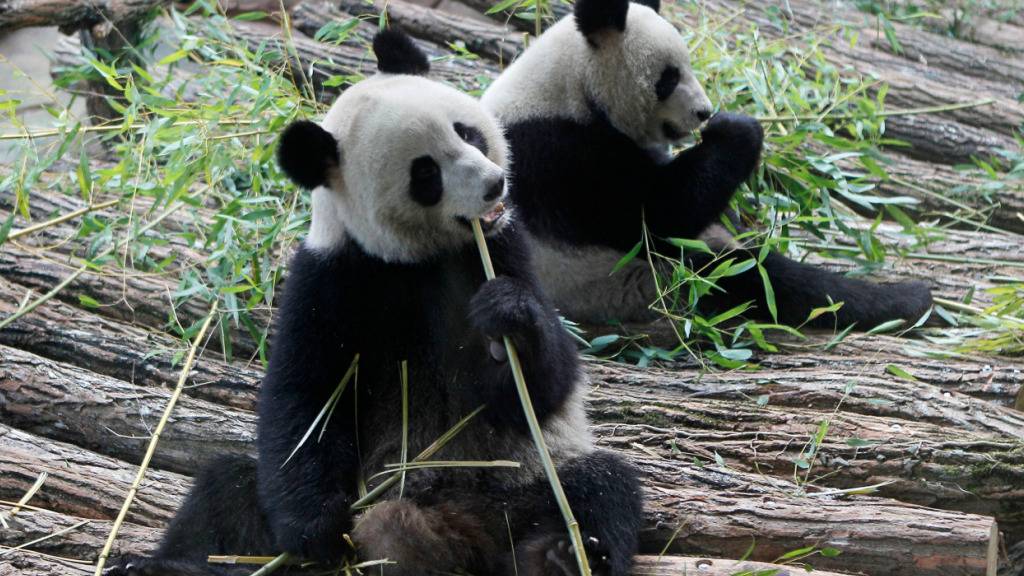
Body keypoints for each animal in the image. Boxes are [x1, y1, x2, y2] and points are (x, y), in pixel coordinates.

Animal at [107, 29, 641, 576]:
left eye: (467, 133)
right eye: (425, 174)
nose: (494, 184)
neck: (415, 259)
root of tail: (454, 534)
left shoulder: (501, 249)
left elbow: (539, 389)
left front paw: (508, 317)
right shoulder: (331, 279)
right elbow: (305, 400)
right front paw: (317, 531)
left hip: (520, 484)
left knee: (599, 486)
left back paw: (558, 555)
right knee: (225, 487)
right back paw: (160, 564)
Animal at [480, 0, 933, 330]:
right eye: (668, 78)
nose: (704, 112)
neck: (569, 85)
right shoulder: (562, 155)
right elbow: (656, 215)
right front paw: (737, 129)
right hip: (637, 282)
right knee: (753, 278)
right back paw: (906, 300)